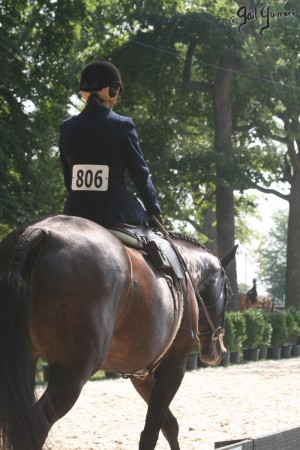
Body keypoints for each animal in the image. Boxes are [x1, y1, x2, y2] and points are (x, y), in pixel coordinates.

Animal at [0, 215, 237, 450]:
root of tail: (40, 232)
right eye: (228, 291)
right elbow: (151, 433)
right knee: (35, 426)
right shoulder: (173, 367)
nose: (218, 351)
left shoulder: (142, 375)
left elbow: (168, 425)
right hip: (73, 372)